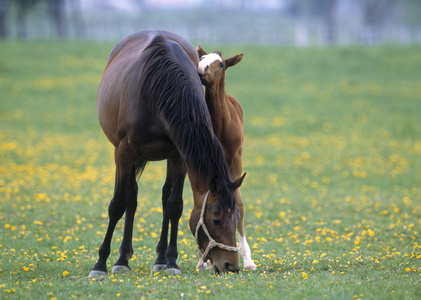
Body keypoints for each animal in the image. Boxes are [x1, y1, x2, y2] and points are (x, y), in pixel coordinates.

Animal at [89, 29, 246, 278]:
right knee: (130, 198)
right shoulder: (125, 152)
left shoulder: (179, 154)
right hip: (121, 153)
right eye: (216, 220)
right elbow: (117, 205)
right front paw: (100, 264)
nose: (231, 266)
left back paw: (159, 259)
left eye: (236, 217)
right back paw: (122, 259)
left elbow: (174, 205)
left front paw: (171, 262)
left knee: (162, 198)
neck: (158, 93)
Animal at [195, 45, 254, 270]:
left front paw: (248, 260)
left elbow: (239, 204)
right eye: (201, 59)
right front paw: (205, 260)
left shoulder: (235, 161)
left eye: (220, 64)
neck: (220, 123)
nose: (201, 69)